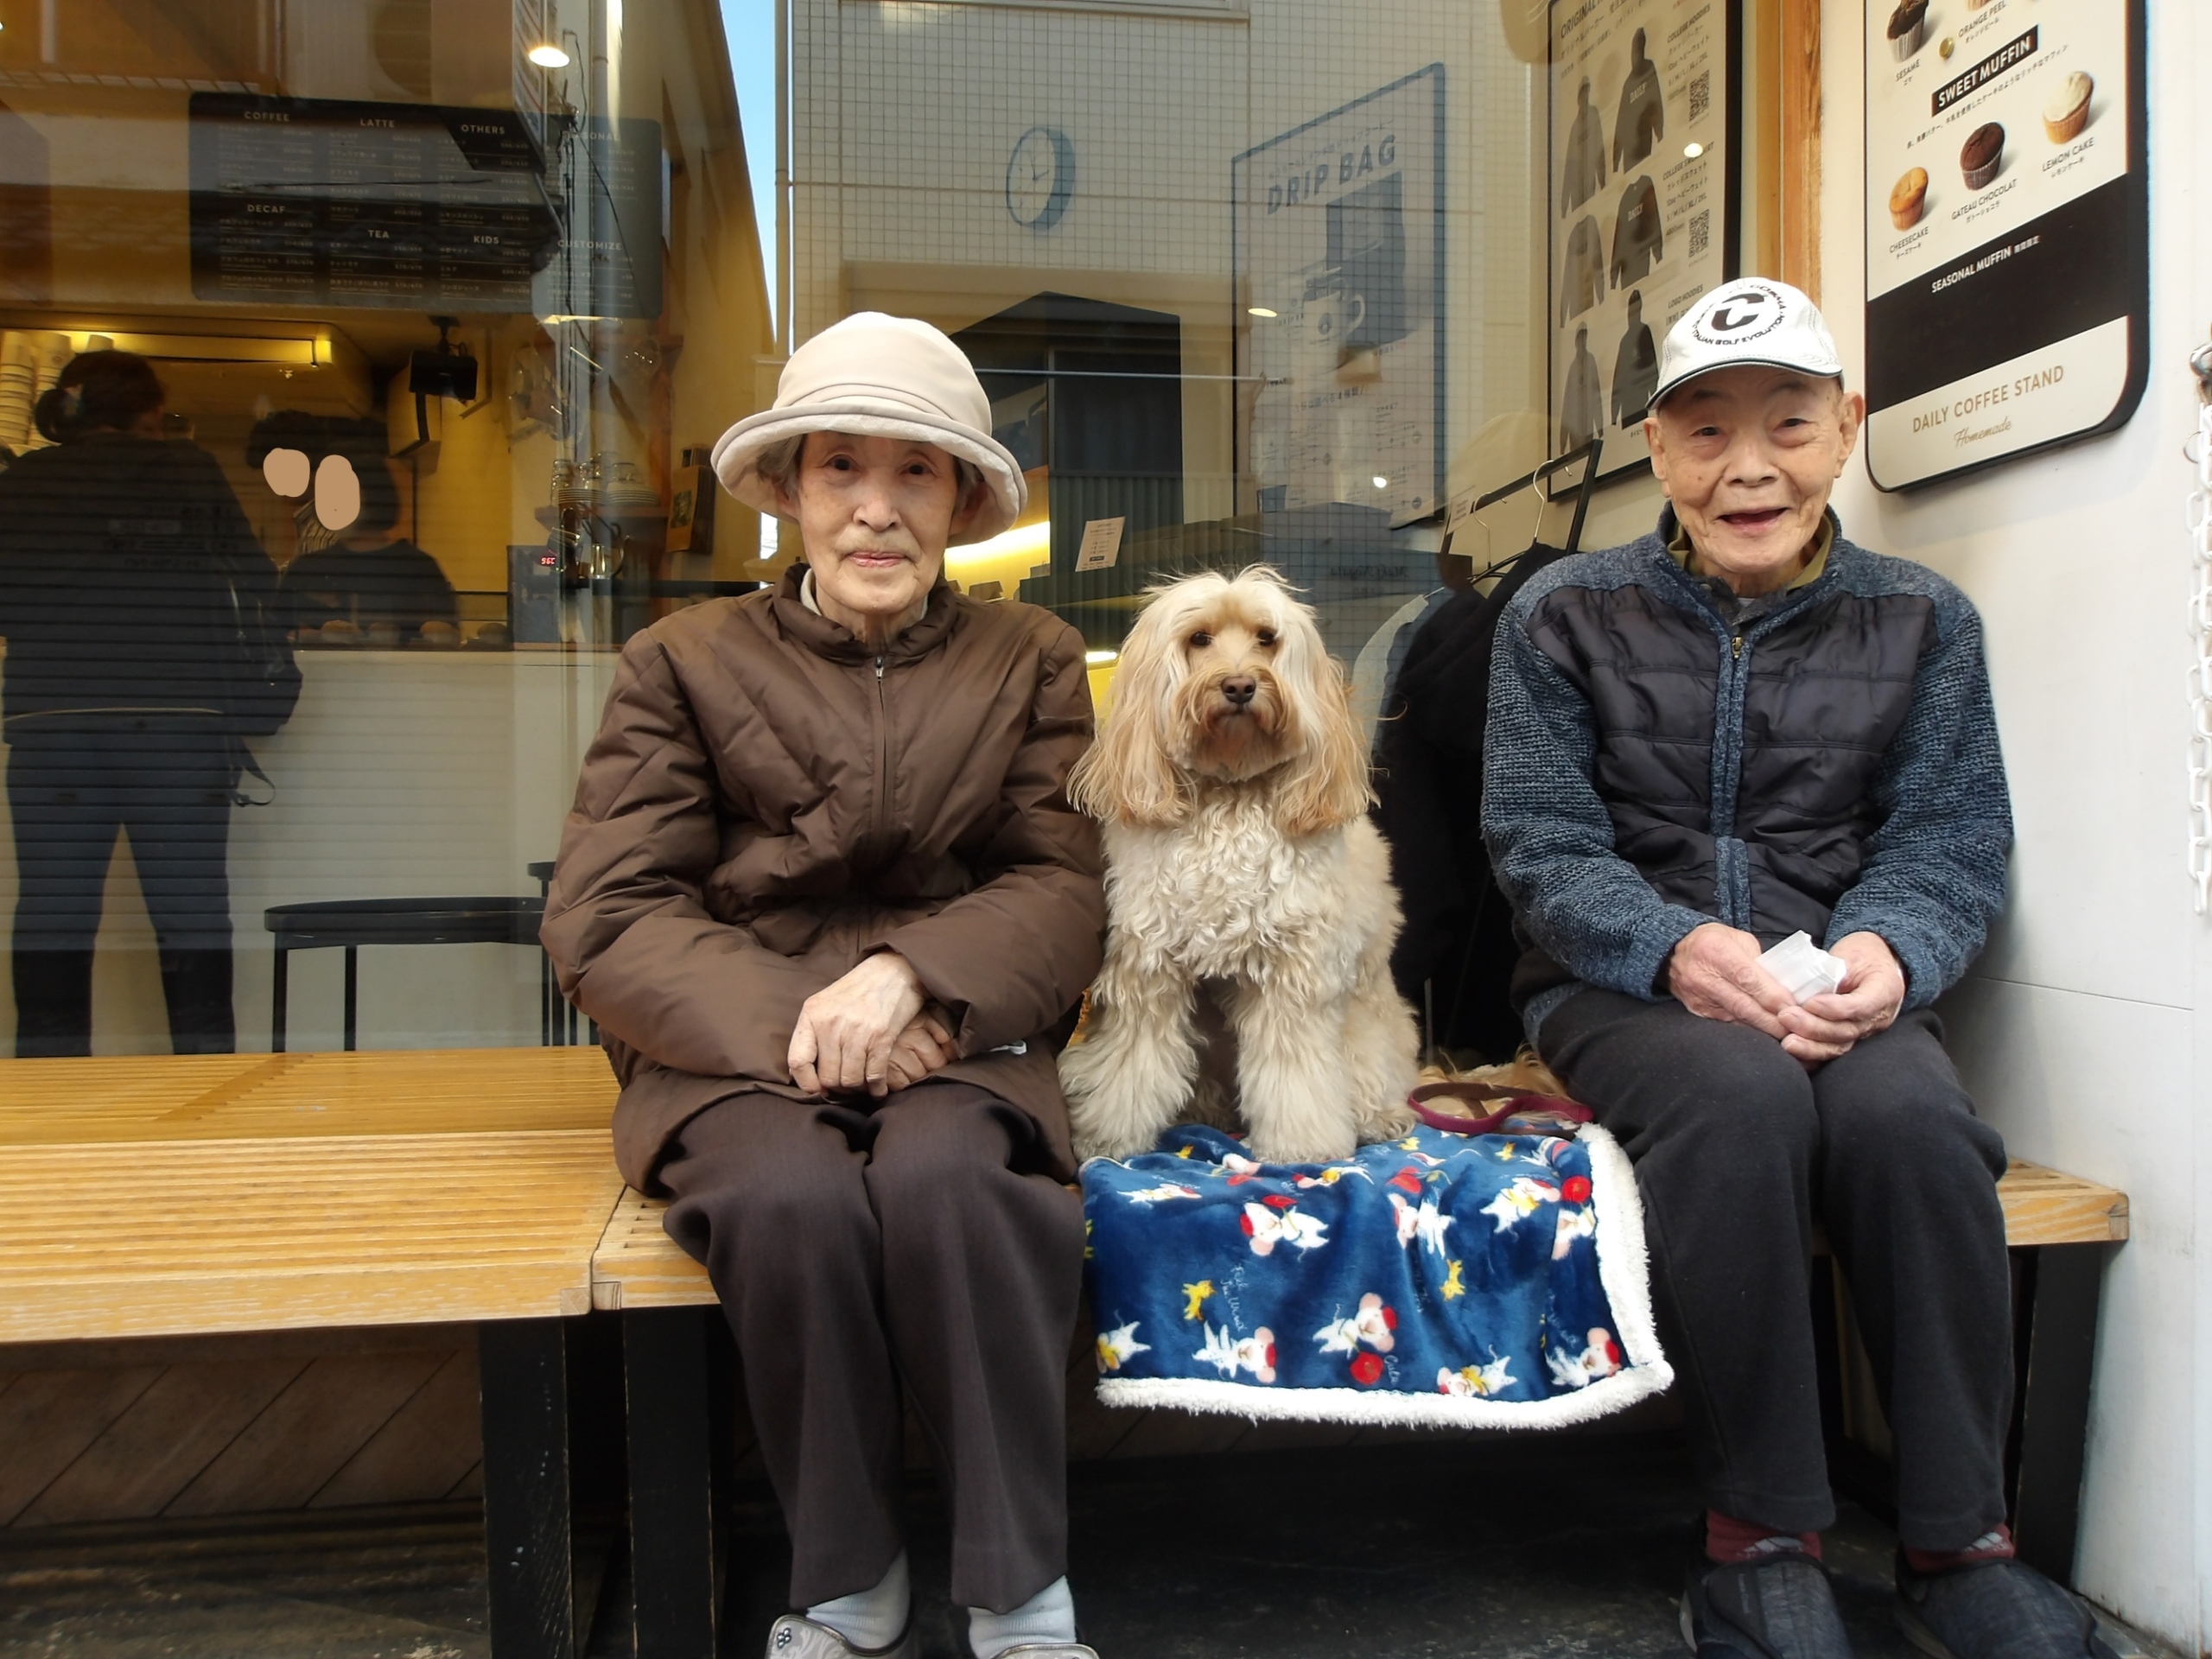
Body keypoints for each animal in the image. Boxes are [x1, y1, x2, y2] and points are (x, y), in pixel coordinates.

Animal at [1057, 566, 1415, 1159]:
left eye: (1267, 639)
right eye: (1199, 639)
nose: (1241, 686)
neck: (1228, 793)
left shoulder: (1294, 973)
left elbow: (1297, 1073)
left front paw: (1302, 1146)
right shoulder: (1148, 965)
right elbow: (1129, 1064)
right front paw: (1107, 1138)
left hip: (1367, 1004)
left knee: (1375, 1061)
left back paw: (1380, 1114)